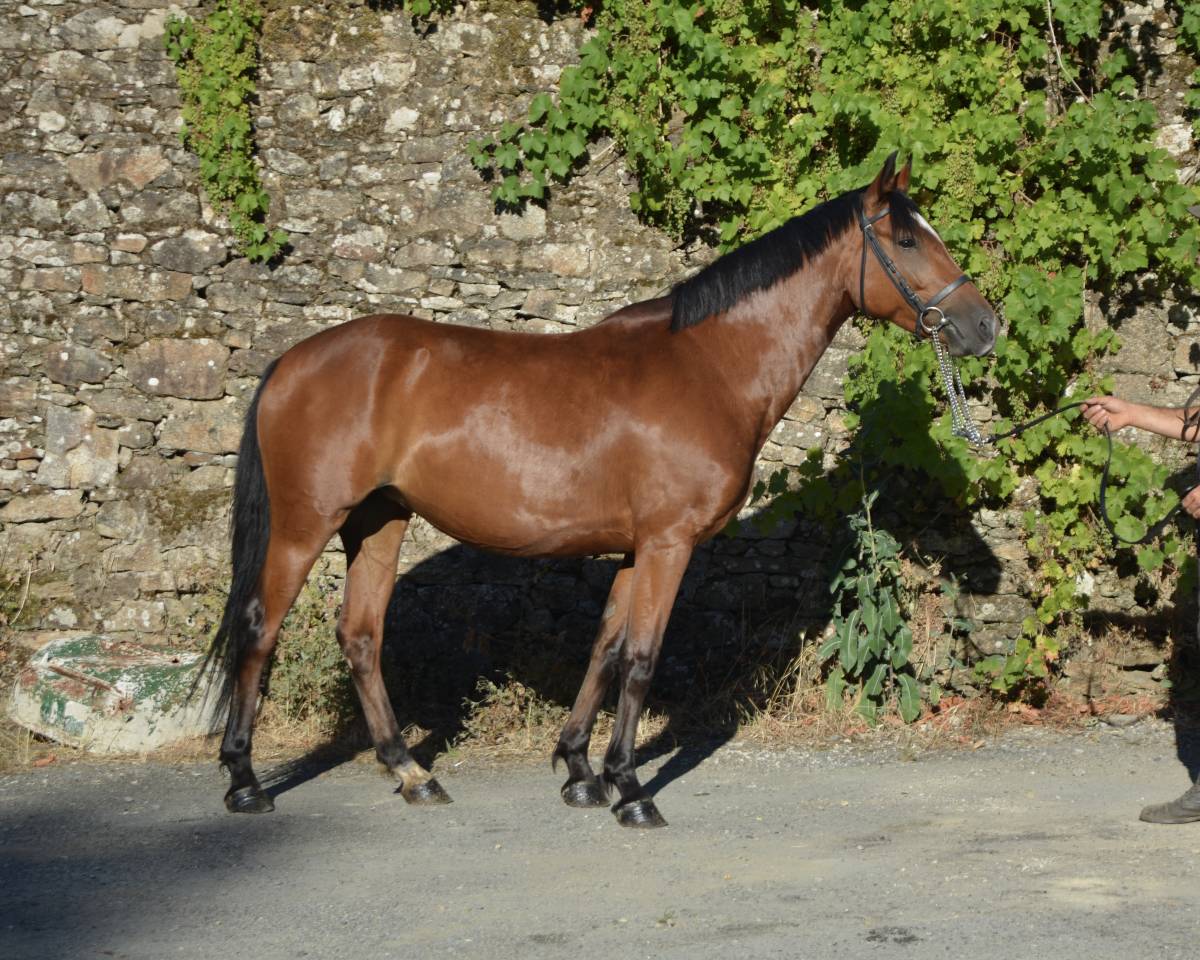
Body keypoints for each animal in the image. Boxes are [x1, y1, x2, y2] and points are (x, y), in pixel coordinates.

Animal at [207, 153, 997, 828]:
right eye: (906, 237)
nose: (985, 325)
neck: (711, 365)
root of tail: (290, 363)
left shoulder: (633, 549)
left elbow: (606, 650)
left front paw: (579, 770)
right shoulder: (669, 544)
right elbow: (642, 659)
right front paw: (629, 789)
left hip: (378, 523)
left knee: (361, 636)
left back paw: (412, 773)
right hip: (306, 525)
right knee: (259, 627)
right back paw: (244, 782)